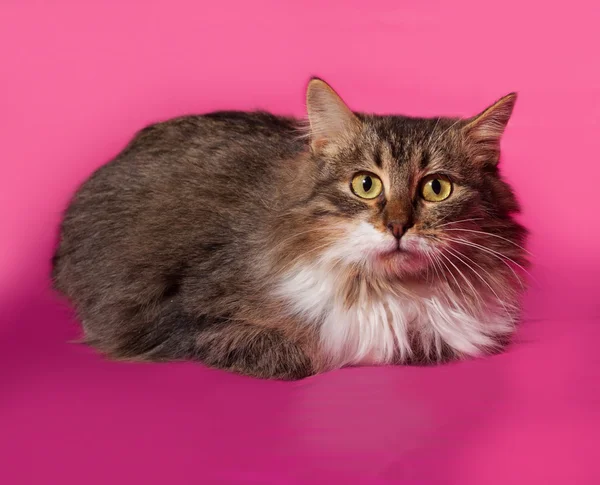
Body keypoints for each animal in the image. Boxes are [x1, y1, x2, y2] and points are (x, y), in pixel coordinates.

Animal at [52, 79, 528, 380]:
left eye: (436, 188)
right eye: (366, 184)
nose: (397, 226)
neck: (381, 290)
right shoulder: (187, 314)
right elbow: (303, 356)